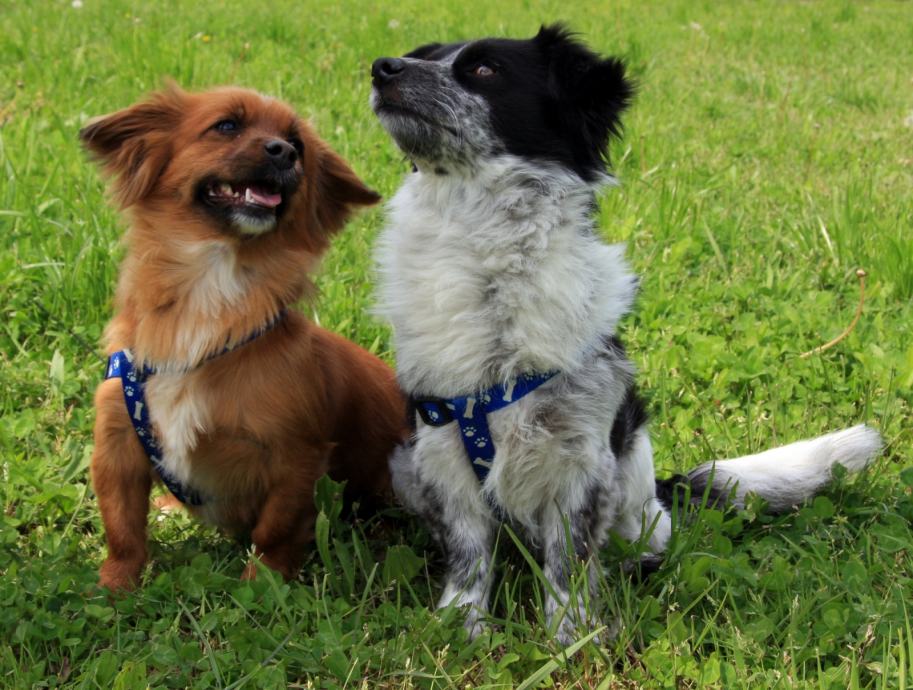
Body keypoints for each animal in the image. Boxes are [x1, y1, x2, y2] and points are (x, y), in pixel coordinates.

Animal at [81, 85, 407, 591]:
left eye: (298, 144)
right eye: (227, 126)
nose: (284, 152)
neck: (210, 285)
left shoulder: (295, 455)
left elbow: (276, 528)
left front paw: (262, 582)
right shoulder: (118, 442)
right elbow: (122, 527)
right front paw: (114, 587)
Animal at [369, 25, 882, 642]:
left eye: (485, 70)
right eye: (422, 57)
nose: (381, 67)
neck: (488, 268)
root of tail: (666, 490)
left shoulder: (582, 462)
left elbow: (569, 564)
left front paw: (571, 640)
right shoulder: (442, 448)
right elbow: (469, 557)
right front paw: (461, 629)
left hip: (638, 510)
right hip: (403, 465)